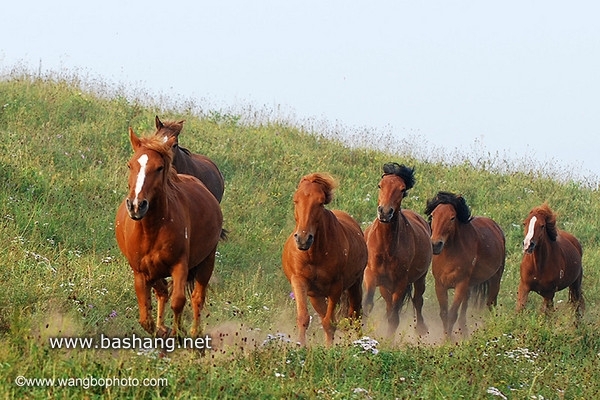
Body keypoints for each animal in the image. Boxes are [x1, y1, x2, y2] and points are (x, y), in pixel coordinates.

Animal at [113, 127, 224, 338]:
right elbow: (145, 317)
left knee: (197, 298)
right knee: (163, 292)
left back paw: (194, 332)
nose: (136, 205)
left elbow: (178, 301)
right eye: (130, 165)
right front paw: (159, 329)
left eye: (159, 168)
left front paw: (177, 332)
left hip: (207, 261)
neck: (151, 230)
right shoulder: (141, 272)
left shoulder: (180, 265)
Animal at [282, 173, 370, 346]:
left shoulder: (335, 287)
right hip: (316, 296)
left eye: (320, 202)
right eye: (296, 200)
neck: (314, 255)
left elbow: (330, 323)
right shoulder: (299, 281)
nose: (303, 239)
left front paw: (330, 349)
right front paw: (301, 347)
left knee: (355, 317)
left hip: (354, 286)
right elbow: (304, 318)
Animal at [360, 164, 432, 336]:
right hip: (385, 286)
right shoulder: (371, 276)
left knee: (417, 300)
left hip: (420, 278)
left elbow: (394, 318)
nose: (385, 212)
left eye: (402, 189)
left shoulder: (400, 283)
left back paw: (421, 328)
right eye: (380, 185)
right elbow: (368, 306)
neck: (387, 247)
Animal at [424, 192, 504, 340]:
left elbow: (452, 314)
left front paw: (448, 340)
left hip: (495, 278)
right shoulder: (440, 285)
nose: (435, 244)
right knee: (465, 307)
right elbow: (444, 314)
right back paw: (464, 331)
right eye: (432, 215)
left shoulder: (460, 284)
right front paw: (446, 337)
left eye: (452, 217)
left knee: (491, 304)